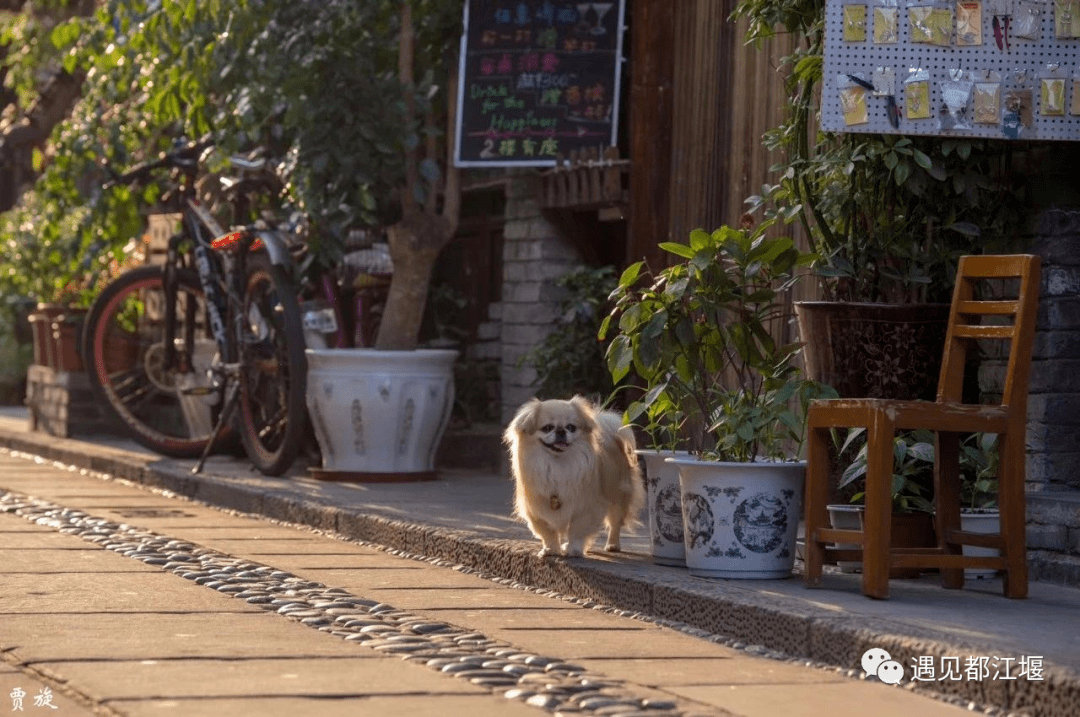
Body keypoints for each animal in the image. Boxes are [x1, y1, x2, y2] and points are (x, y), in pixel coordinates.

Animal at [503, 395, 643, 557]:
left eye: (571, 427)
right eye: (547, 428)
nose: (561, 431)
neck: (557, 464)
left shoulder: (587, 508)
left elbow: (577, 531)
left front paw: (574, 549)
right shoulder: (537, 509)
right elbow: (548, 532)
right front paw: (551, 549)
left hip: (617, 497)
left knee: (615, 523)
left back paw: (612, 545)